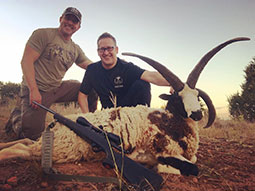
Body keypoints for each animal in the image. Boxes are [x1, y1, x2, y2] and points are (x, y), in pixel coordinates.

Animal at [0, 38, 251, 177]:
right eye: (179, 98)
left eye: (196, 95)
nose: (197, 113)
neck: (169, 121)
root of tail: (55, 125)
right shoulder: (166, 152)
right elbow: (190, 167)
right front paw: (154, 166)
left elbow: (195, 161)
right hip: (60, 150)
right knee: (21, 149)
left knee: (25, 141)